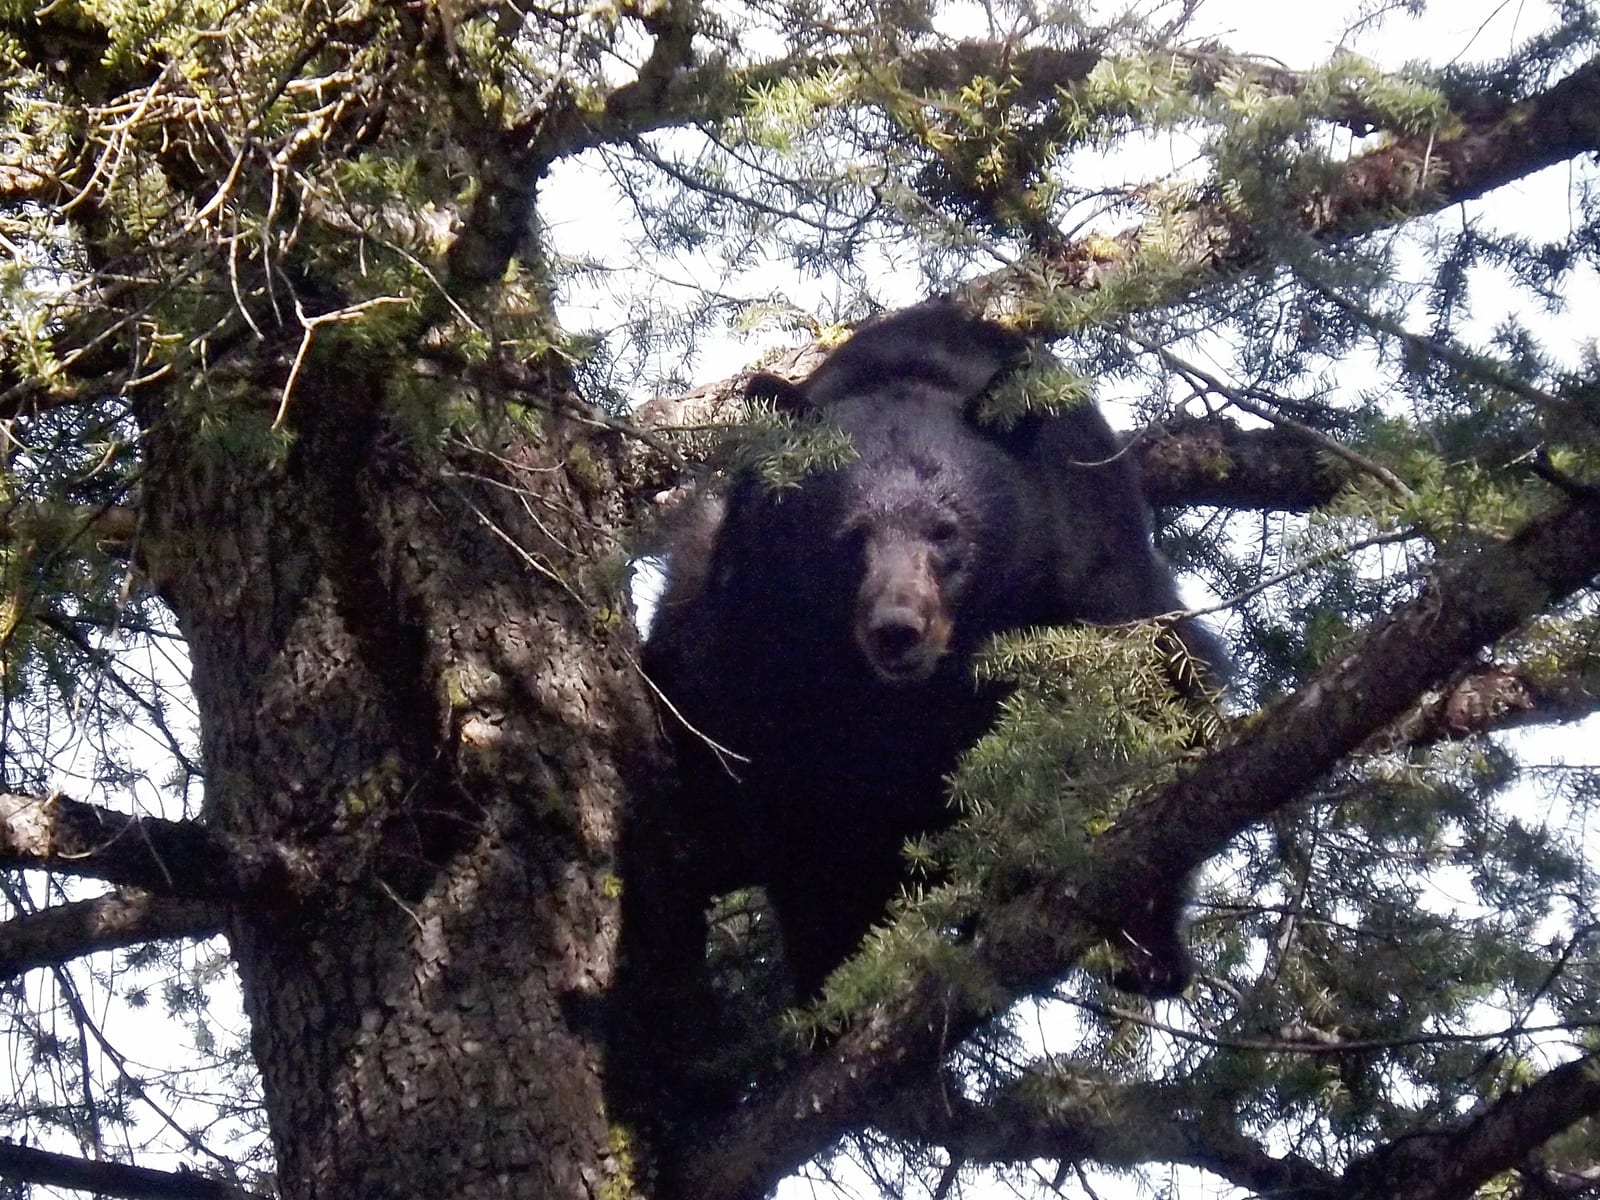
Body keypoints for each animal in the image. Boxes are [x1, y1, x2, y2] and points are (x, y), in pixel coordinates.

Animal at [642, 299, 1223, 1002]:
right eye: (850, 537)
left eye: (946, 532)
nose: (897, 628)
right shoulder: (764, 657)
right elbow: (809, 824)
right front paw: (835, 986)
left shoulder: (1090, 570)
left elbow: (1152, 707)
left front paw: (1141, 935)